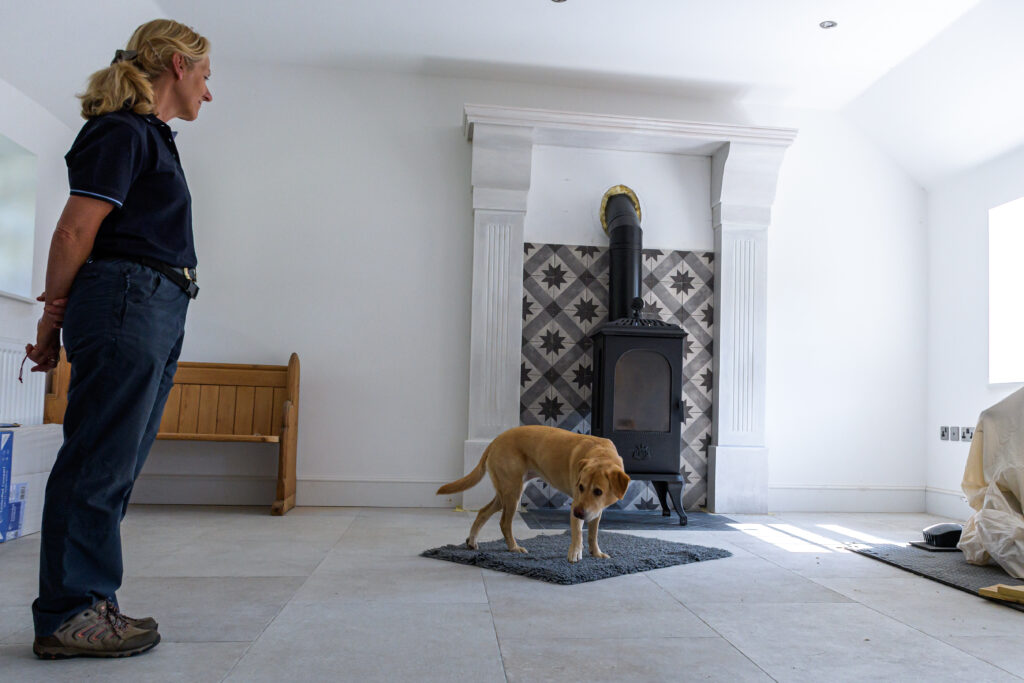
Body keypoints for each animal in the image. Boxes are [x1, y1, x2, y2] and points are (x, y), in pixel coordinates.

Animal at [437, 425, 630, 563]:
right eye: (581, 487)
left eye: (598, 491)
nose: (577, 512)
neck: (601, 454)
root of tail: (495, 440)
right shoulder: (578, 505)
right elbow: (578, 533)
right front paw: (575, 553)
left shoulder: (596, 511)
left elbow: (593, 534)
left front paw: (596, 553)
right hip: (513, 493)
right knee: (504, 523)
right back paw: (514, 548)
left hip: (504, 494)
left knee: (483, 512)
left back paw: (472, 541)